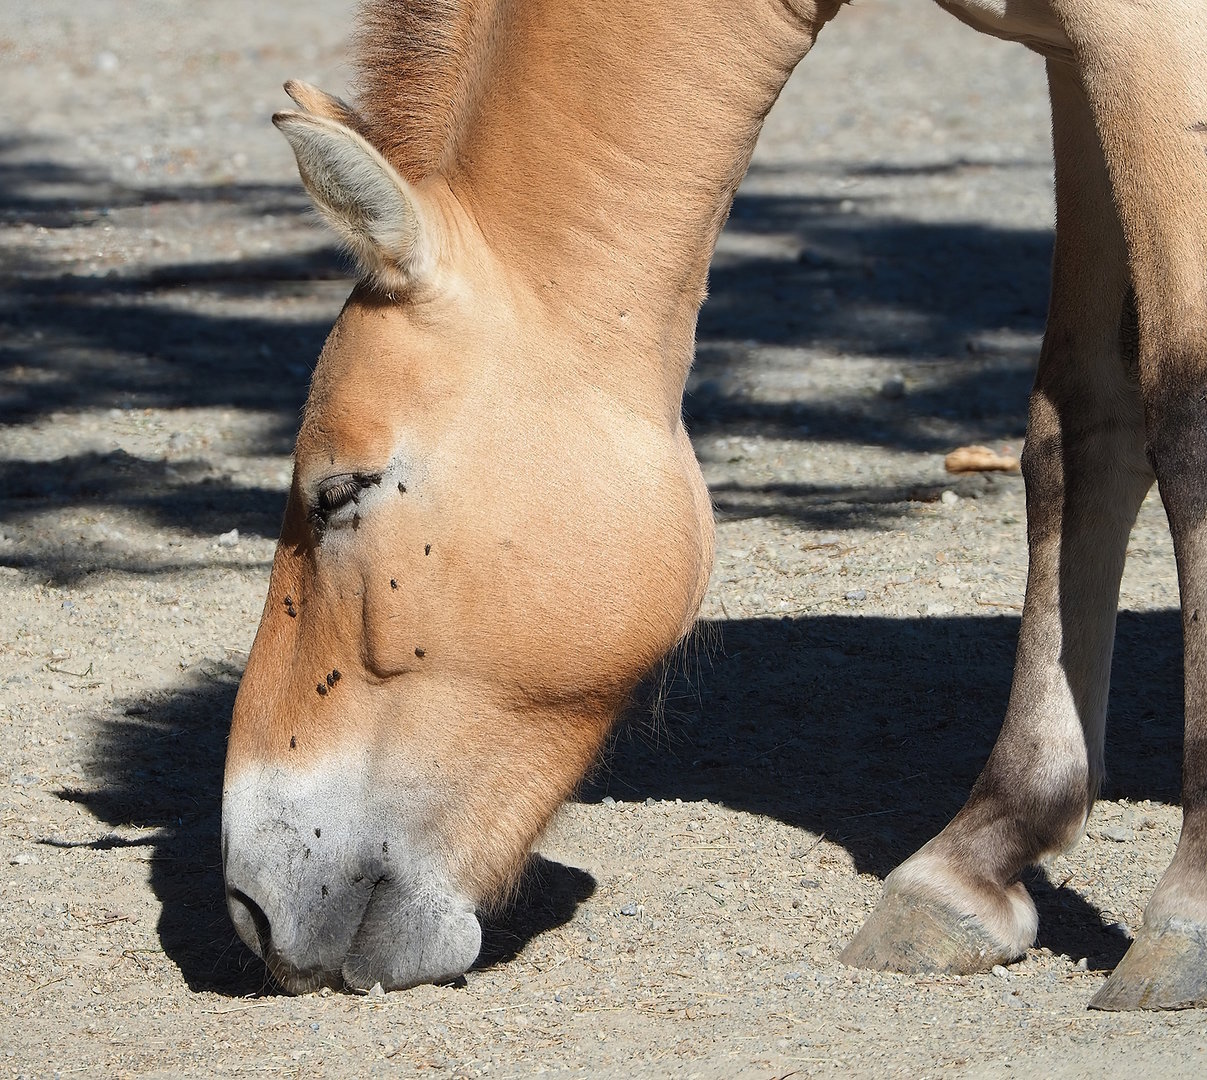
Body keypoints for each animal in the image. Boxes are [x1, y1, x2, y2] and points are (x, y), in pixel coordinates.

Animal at [221, 0, 1207, 1010]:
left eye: (339, 491)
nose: (250, 909)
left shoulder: (1153, 41)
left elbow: (1187, 426)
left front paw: (1187, 914)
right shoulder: (1075, 59)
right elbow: (1075, 431)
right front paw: (977, 860)